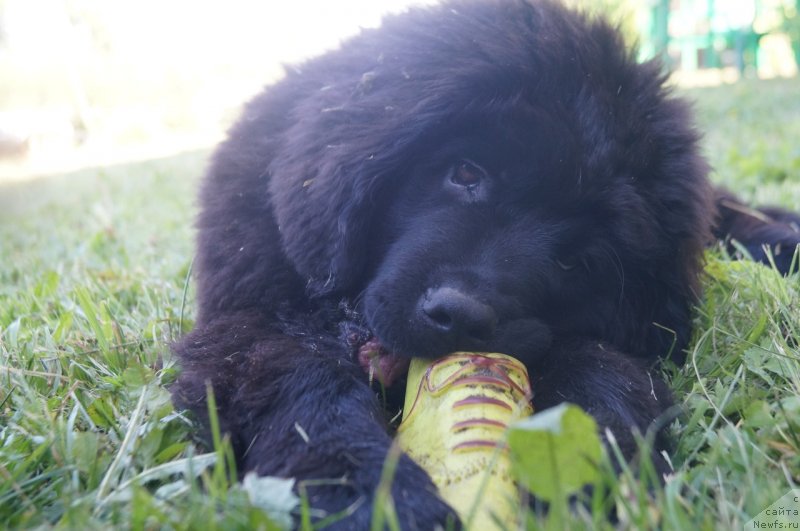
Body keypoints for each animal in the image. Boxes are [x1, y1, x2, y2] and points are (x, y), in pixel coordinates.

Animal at [170, 0, 800, 528]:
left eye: (576, 260)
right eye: (466, 172)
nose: (461, 316)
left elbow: (606, 366)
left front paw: (595, 462)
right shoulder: (244, 317)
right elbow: (300, 381)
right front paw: (372, 492)